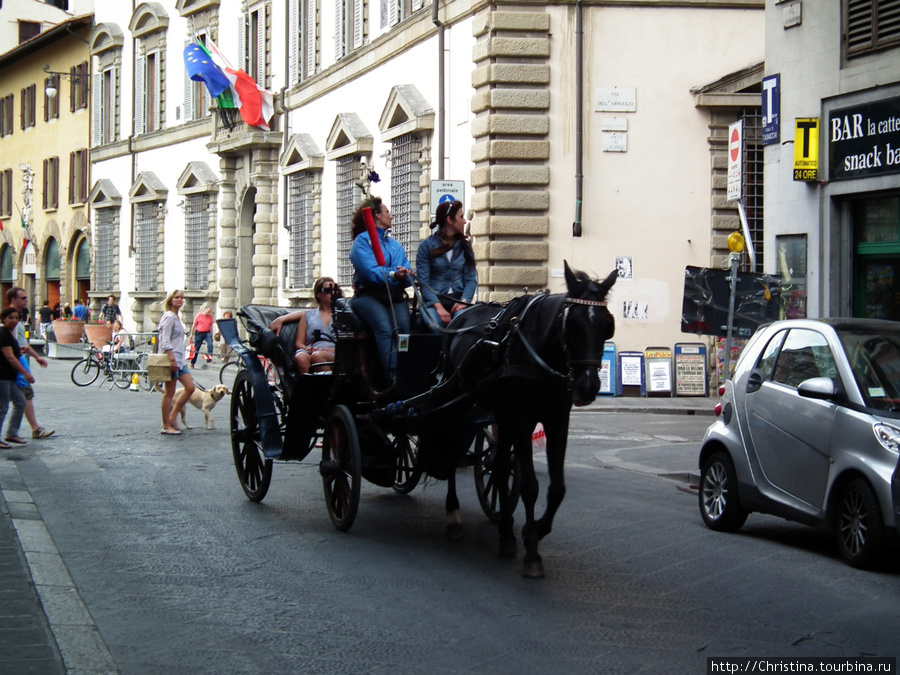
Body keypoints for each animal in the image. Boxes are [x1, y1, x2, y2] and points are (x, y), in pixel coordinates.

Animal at [418, 262, 616, 580]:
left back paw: (506, 531)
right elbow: (531, 486)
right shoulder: (523, 418)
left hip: (501, 414)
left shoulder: (557, 420)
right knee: (451, 453)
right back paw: (454, 515)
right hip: (461, 402)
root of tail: (459, 316)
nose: (587, 386)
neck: (542, 353)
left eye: (606, 325)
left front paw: (533, 530)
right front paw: (532, 553)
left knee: (498, 467)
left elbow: (556, 488)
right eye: (570, 323)